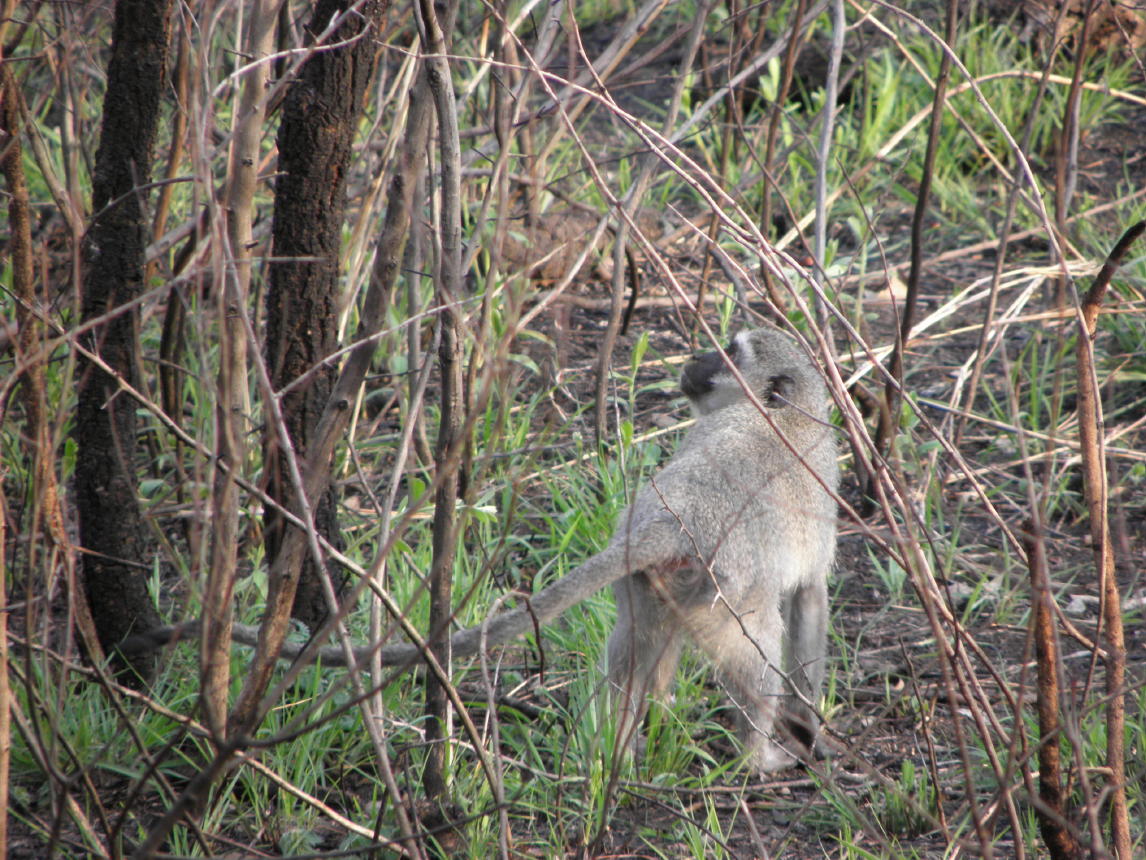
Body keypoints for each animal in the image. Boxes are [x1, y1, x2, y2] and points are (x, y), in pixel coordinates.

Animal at [127, 330, 843, 775]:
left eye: (729, 351)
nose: (695, 360)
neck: (791, 414)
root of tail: (668, 521)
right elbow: (809, 603)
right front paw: (808, 727)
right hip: (725, 591)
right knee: (754, 642)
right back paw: (754, 757)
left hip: (659, 583)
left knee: (637, 650)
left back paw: (612, 757)